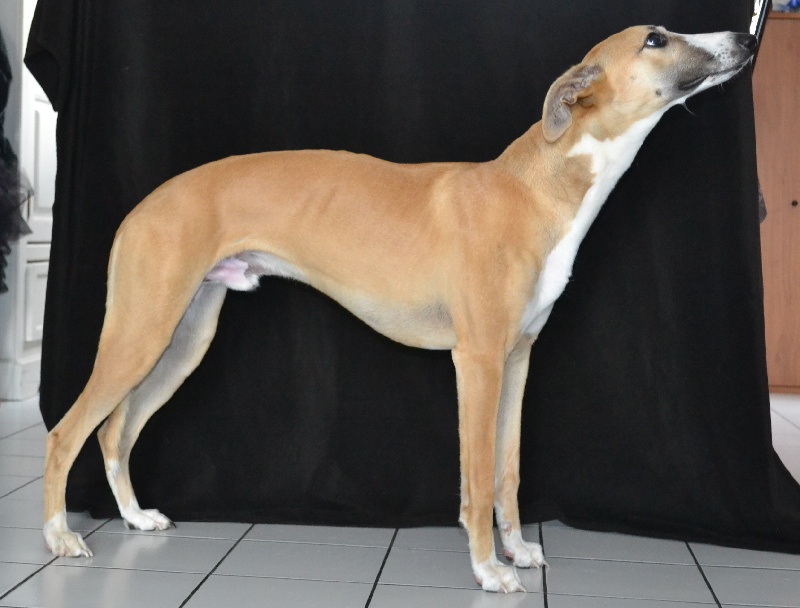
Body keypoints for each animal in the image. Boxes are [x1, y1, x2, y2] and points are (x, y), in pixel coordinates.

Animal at [42, 26, 755, 592]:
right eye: (656, 38)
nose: (744, 40)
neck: (534, 188)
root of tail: (144, 205)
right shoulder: (477, 361)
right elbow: (476, 479)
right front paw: (487, 570)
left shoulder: (518, 359)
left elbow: (508, 473)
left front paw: (518, 550)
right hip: (143, 330)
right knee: (68, 430)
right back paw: (58, 537)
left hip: (183, 339)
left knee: (113, 431)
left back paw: (135, 517)